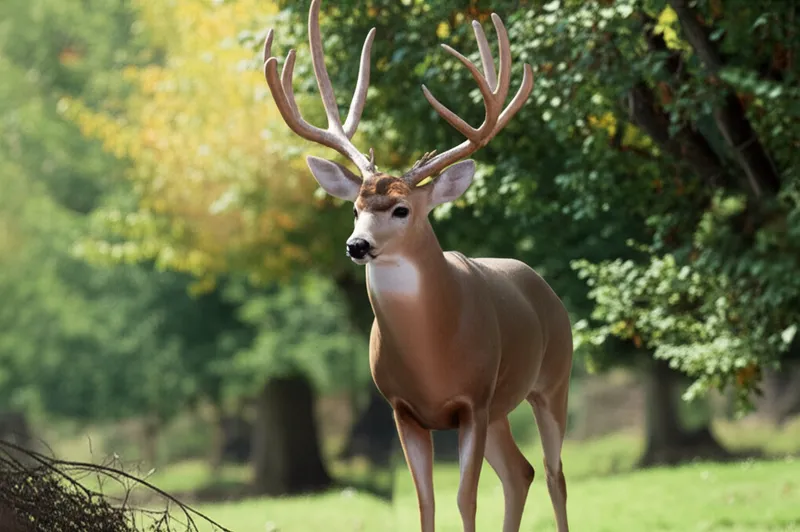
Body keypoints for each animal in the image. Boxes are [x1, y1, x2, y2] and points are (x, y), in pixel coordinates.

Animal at [261, 1, 573, 531]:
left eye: (402, 210)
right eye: (355, 209)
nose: (357, 245)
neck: (433, 356)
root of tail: (542, 285)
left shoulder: (473, 401)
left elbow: (465, 499)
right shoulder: (402, 409)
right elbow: (425, 502)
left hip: (554, 379)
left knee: (554, 475)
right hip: (503, 409)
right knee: (521, 472)